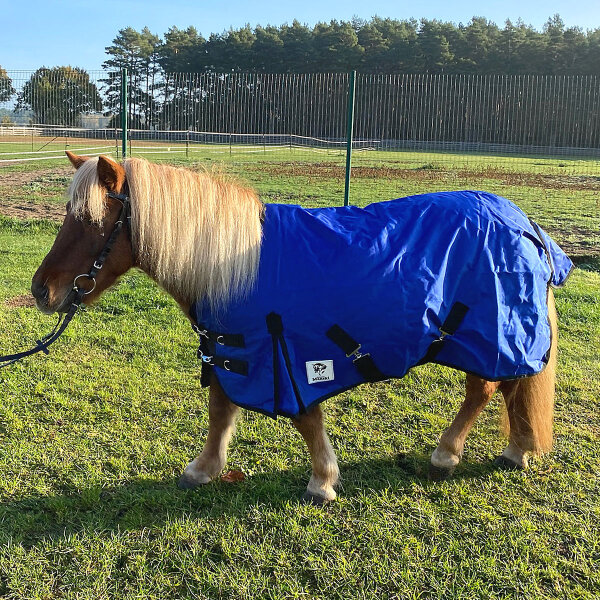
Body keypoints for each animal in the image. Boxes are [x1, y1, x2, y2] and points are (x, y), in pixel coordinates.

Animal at [30, 152, 560, 504]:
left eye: (91, 221)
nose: (41, 290)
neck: (234, 263)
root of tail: (522, 222)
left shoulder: (287, 355)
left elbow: (305, 419)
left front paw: (322, 480)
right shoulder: (230, 350)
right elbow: (220, 410)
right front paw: (204, 469)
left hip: (489, 335)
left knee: (488, 388)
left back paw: (449, 454)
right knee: (510, 388)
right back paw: (516, 450)